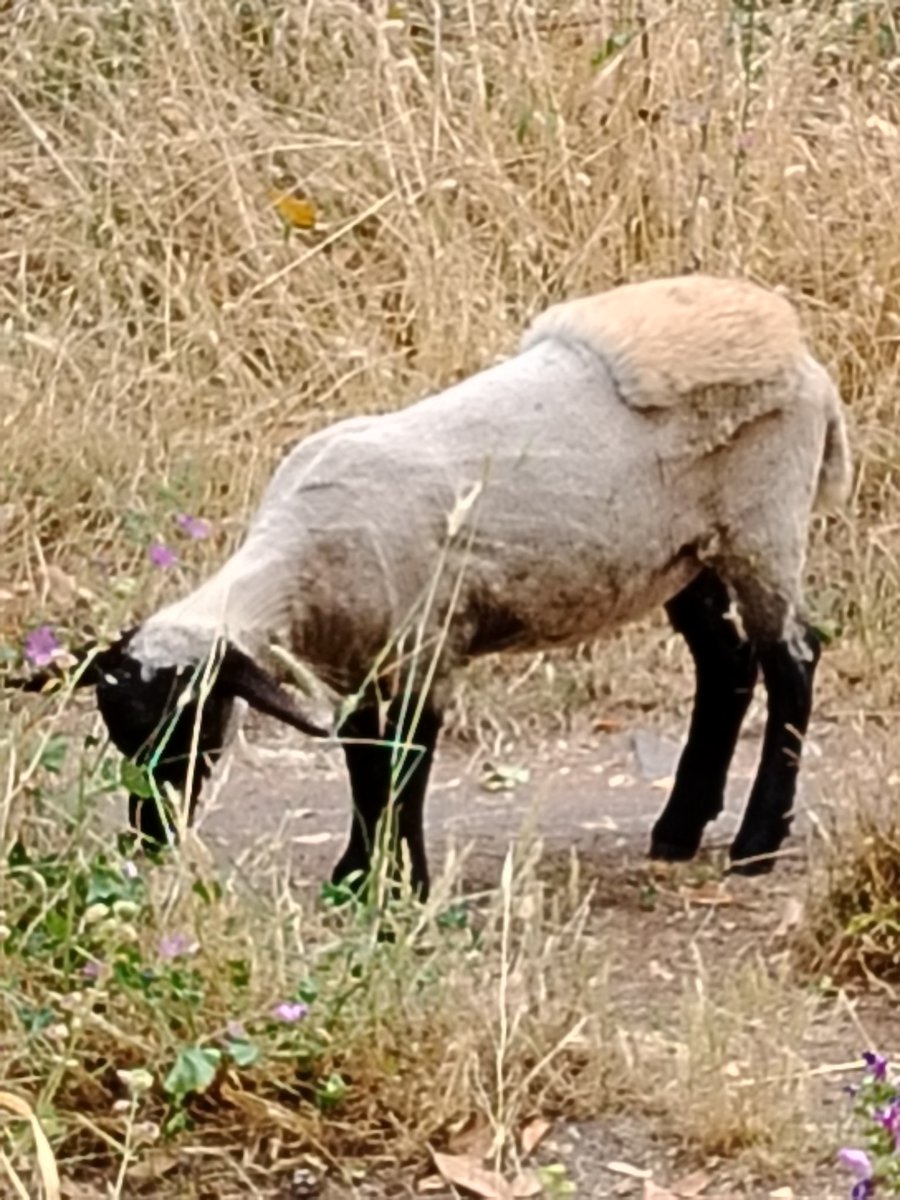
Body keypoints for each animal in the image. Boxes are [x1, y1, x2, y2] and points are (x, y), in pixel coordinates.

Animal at [7, 274, 852, 896]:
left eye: (189, 722)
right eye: (122, 732)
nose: (151, 836)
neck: (296, 564)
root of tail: (810, 367)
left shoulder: (424, 650)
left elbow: (405, 769)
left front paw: (401, 884)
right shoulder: (356, 662)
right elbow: (363, 767)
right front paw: (356, 876)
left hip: (763, 526)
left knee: (792, 662)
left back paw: (756, 842)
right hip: (682, 552)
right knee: (726, 664)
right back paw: (679, 828)